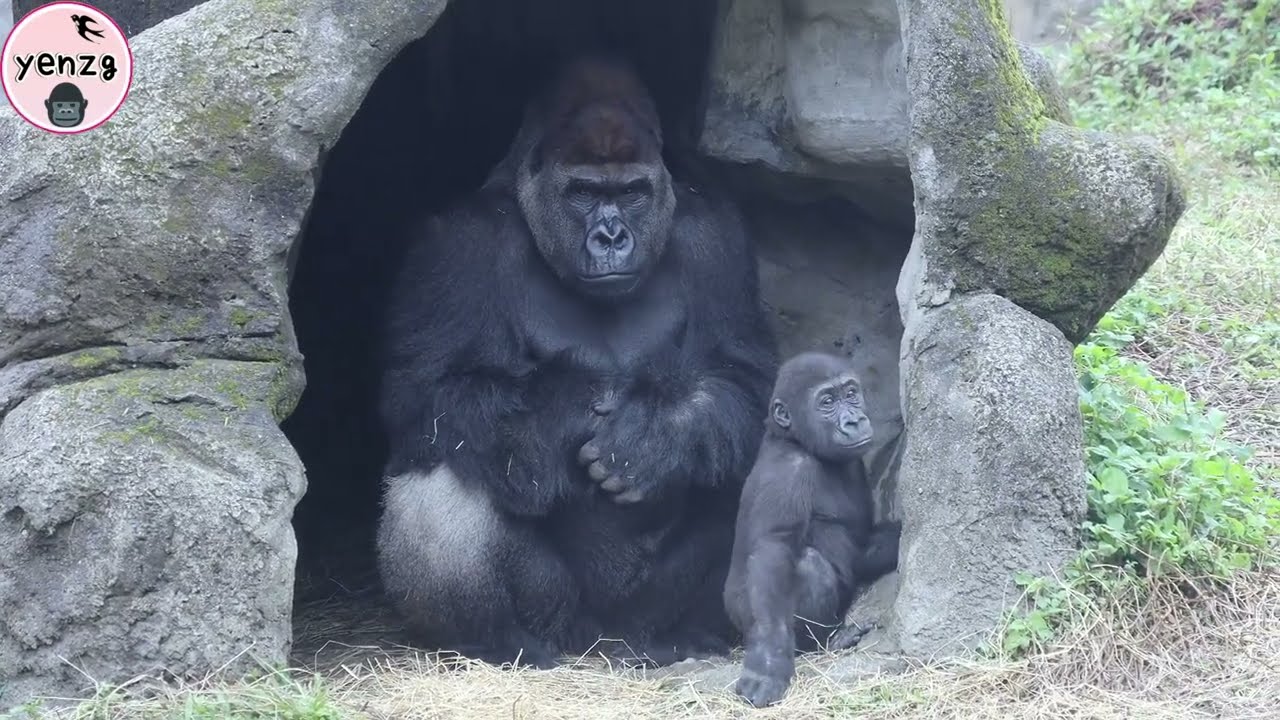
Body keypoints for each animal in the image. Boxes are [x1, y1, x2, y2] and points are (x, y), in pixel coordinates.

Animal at [723, 351, 901, 707]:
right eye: (827, 402)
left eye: (851, 393)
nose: (854, 420)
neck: (794, 439)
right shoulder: (787, 474)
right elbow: (772, 554)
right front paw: (767, 664)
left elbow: (862, 546)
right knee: (809, 566)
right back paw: (822, 642)